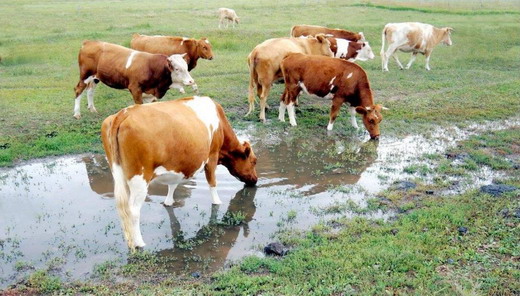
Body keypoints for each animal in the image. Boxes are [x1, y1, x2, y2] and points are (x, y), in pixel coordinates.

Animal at [101, 96, 258, 249]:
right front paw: (217, 202)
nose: (255, 180)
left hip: (120, 175)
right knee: (133, 211)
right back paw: (139, 242)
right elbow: (212, 182)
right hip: (140, 178)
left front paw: (168, 202)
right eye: (254, 161)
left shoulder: (177, 166)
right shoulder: (212, 155)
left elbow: (173, 185)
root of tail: (124, 113)